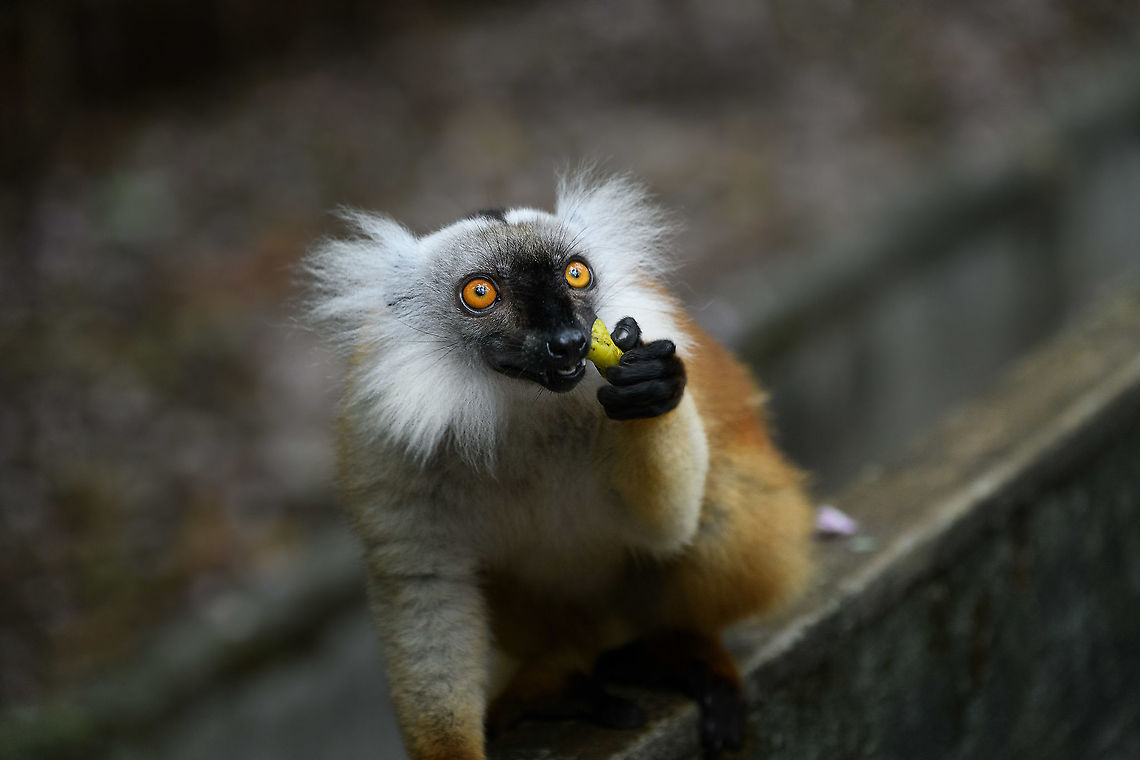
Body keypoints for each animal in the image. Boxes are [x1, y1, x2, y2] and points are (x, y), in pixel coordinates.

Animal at [303, 172, 813, 759]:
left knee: (721, 509)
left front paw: (648, 387)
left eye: (576, 273)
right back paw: (554, 689)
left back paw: (677, 653)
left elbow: (667, 530)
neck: (520, 402)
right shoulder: (381, 429)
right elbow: (423, 579)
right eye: (480, 293)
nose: (568, 341)